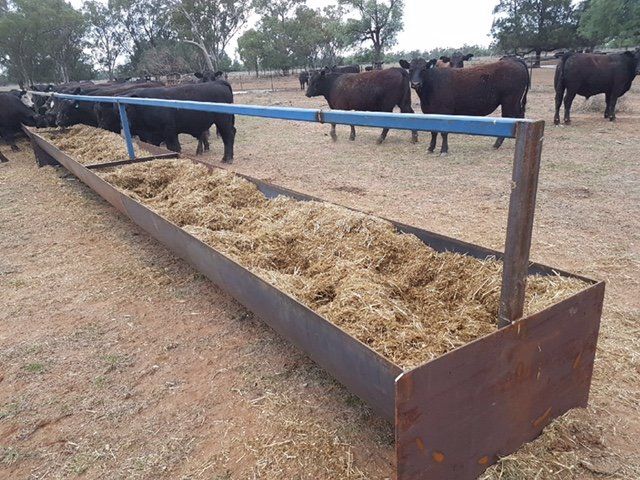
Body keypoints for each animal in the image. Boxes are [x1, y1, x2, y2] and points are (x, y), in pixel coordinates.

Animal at [399, 57, 530, 155]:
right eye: (410, 69)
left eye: (424, 69)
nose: (416, 83)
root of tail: (515, 61)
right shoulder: (430, 112)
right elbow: (433, 131)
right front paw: (431, 148)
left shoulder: (445, 111)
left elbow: (444, 132)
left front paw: (444, 150)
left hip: (510, 101)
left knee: (511, 117)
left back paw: (497, 144)